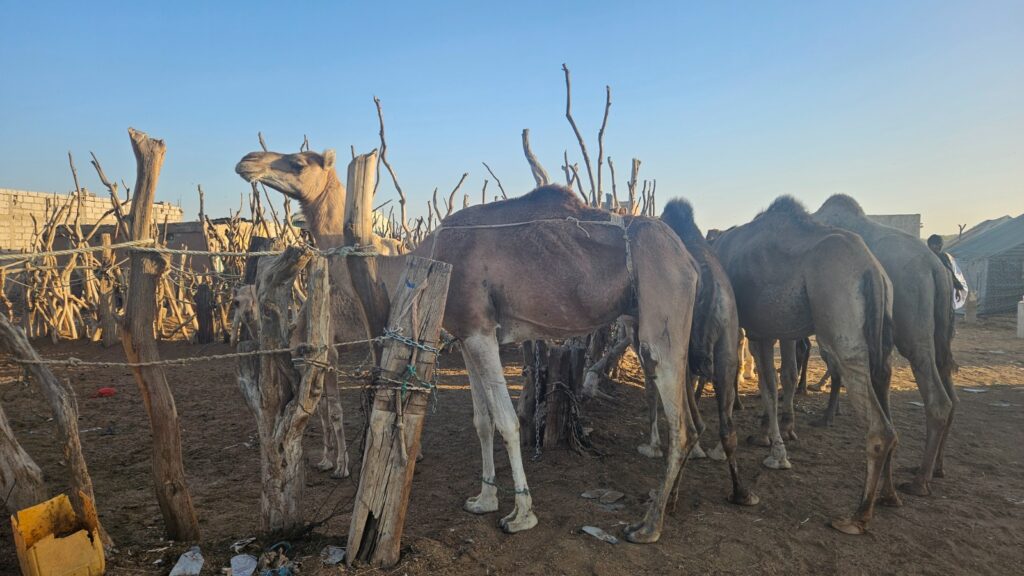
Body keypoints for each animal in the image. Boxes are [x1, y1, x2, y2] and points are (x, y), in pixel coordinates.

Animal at [236, 149, 719, 543]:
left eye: (299, 161)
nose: (247, 161)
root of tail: (688, 260)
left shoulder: (481, 330)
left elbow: (506, 421)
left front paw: (521, 515)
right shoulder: (467, 335)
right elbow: (482, 421)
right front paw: (483, 500)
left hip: (660, 323)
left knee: (682, 423)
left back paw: (648, 526)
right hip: (643, 326)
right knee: (688, 417)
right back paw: (668, 502)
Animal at [714, 196, 898, 534]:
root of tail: (871, 270)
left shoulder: (755, 329)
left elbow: (766, 386)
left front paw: (774, 452)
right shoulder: (775, 329)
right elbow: (779, 379)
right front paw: (773, 439)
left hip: (842, 328)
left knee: (880, 426)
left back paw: (857, 516)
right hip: (882, 338)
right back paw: (889, 495)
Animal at [813, 194, 957, 495]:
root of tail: (936, 269)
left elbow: (834, 366)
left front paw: (826, 415)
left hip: (913, 327)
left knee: (938, 398)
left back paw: (919, 482)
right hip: (940, 330)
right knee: (951, 393)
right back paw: (935, 469)